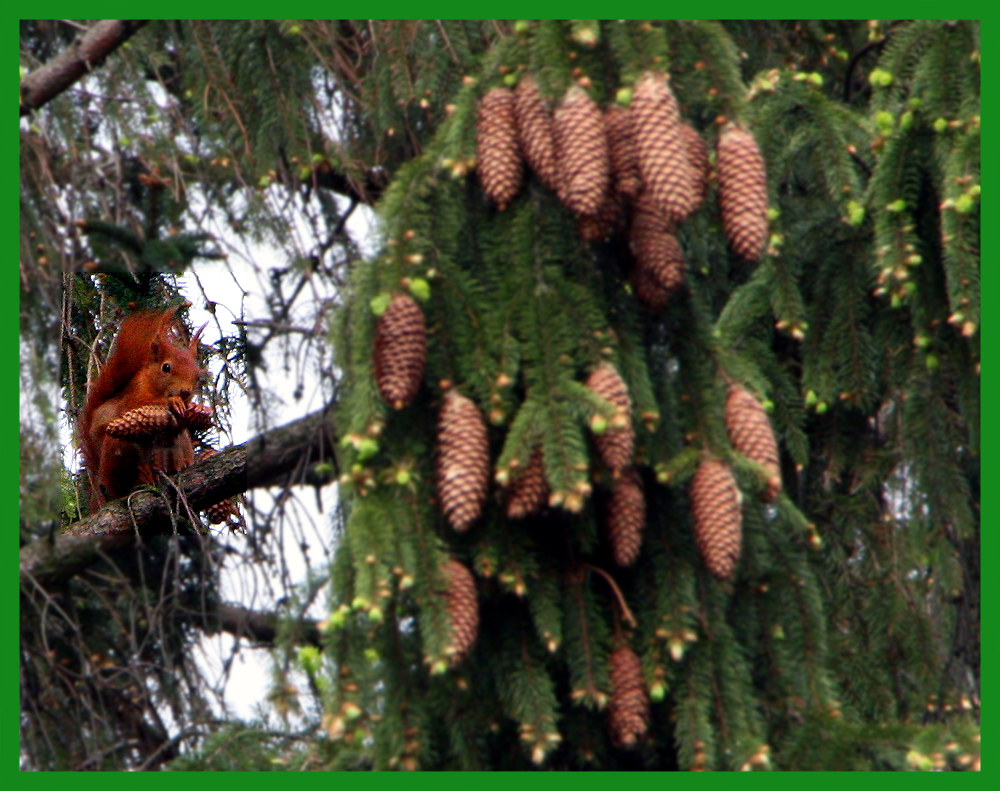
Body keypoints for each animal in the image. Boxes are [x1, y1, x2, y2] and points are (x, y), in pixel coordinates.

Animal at [79, 306, 209, 510]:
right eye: (166, 367)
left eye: (197, 376)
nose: (185, 392)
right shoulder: (135, 396)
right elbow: (142, 405)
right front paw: (173, 402)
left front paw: (196, 408)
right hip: (118, 450)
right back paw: (144, 478)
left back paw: (179, 467)